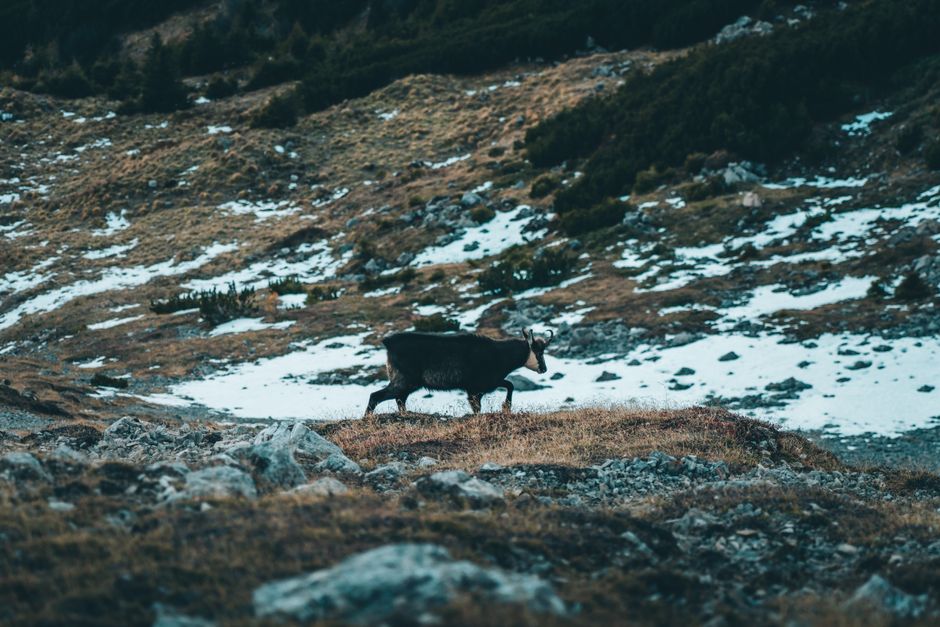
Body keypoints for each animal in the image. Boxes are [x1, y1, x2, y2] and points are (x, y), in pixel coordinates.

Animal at [364, 329, 553, 416]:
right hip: (405, 380)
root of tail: (388, 343)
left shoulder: (481, 386)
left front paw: (505, 407)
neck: (500, 354)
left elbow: (508, 385)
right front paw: (505, 407)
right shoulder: (479, 385)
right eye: (539, 351)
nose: (544, 369)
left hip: (405, 383)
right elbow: (482, 403)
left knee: (399, 400)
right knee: (376, 396)